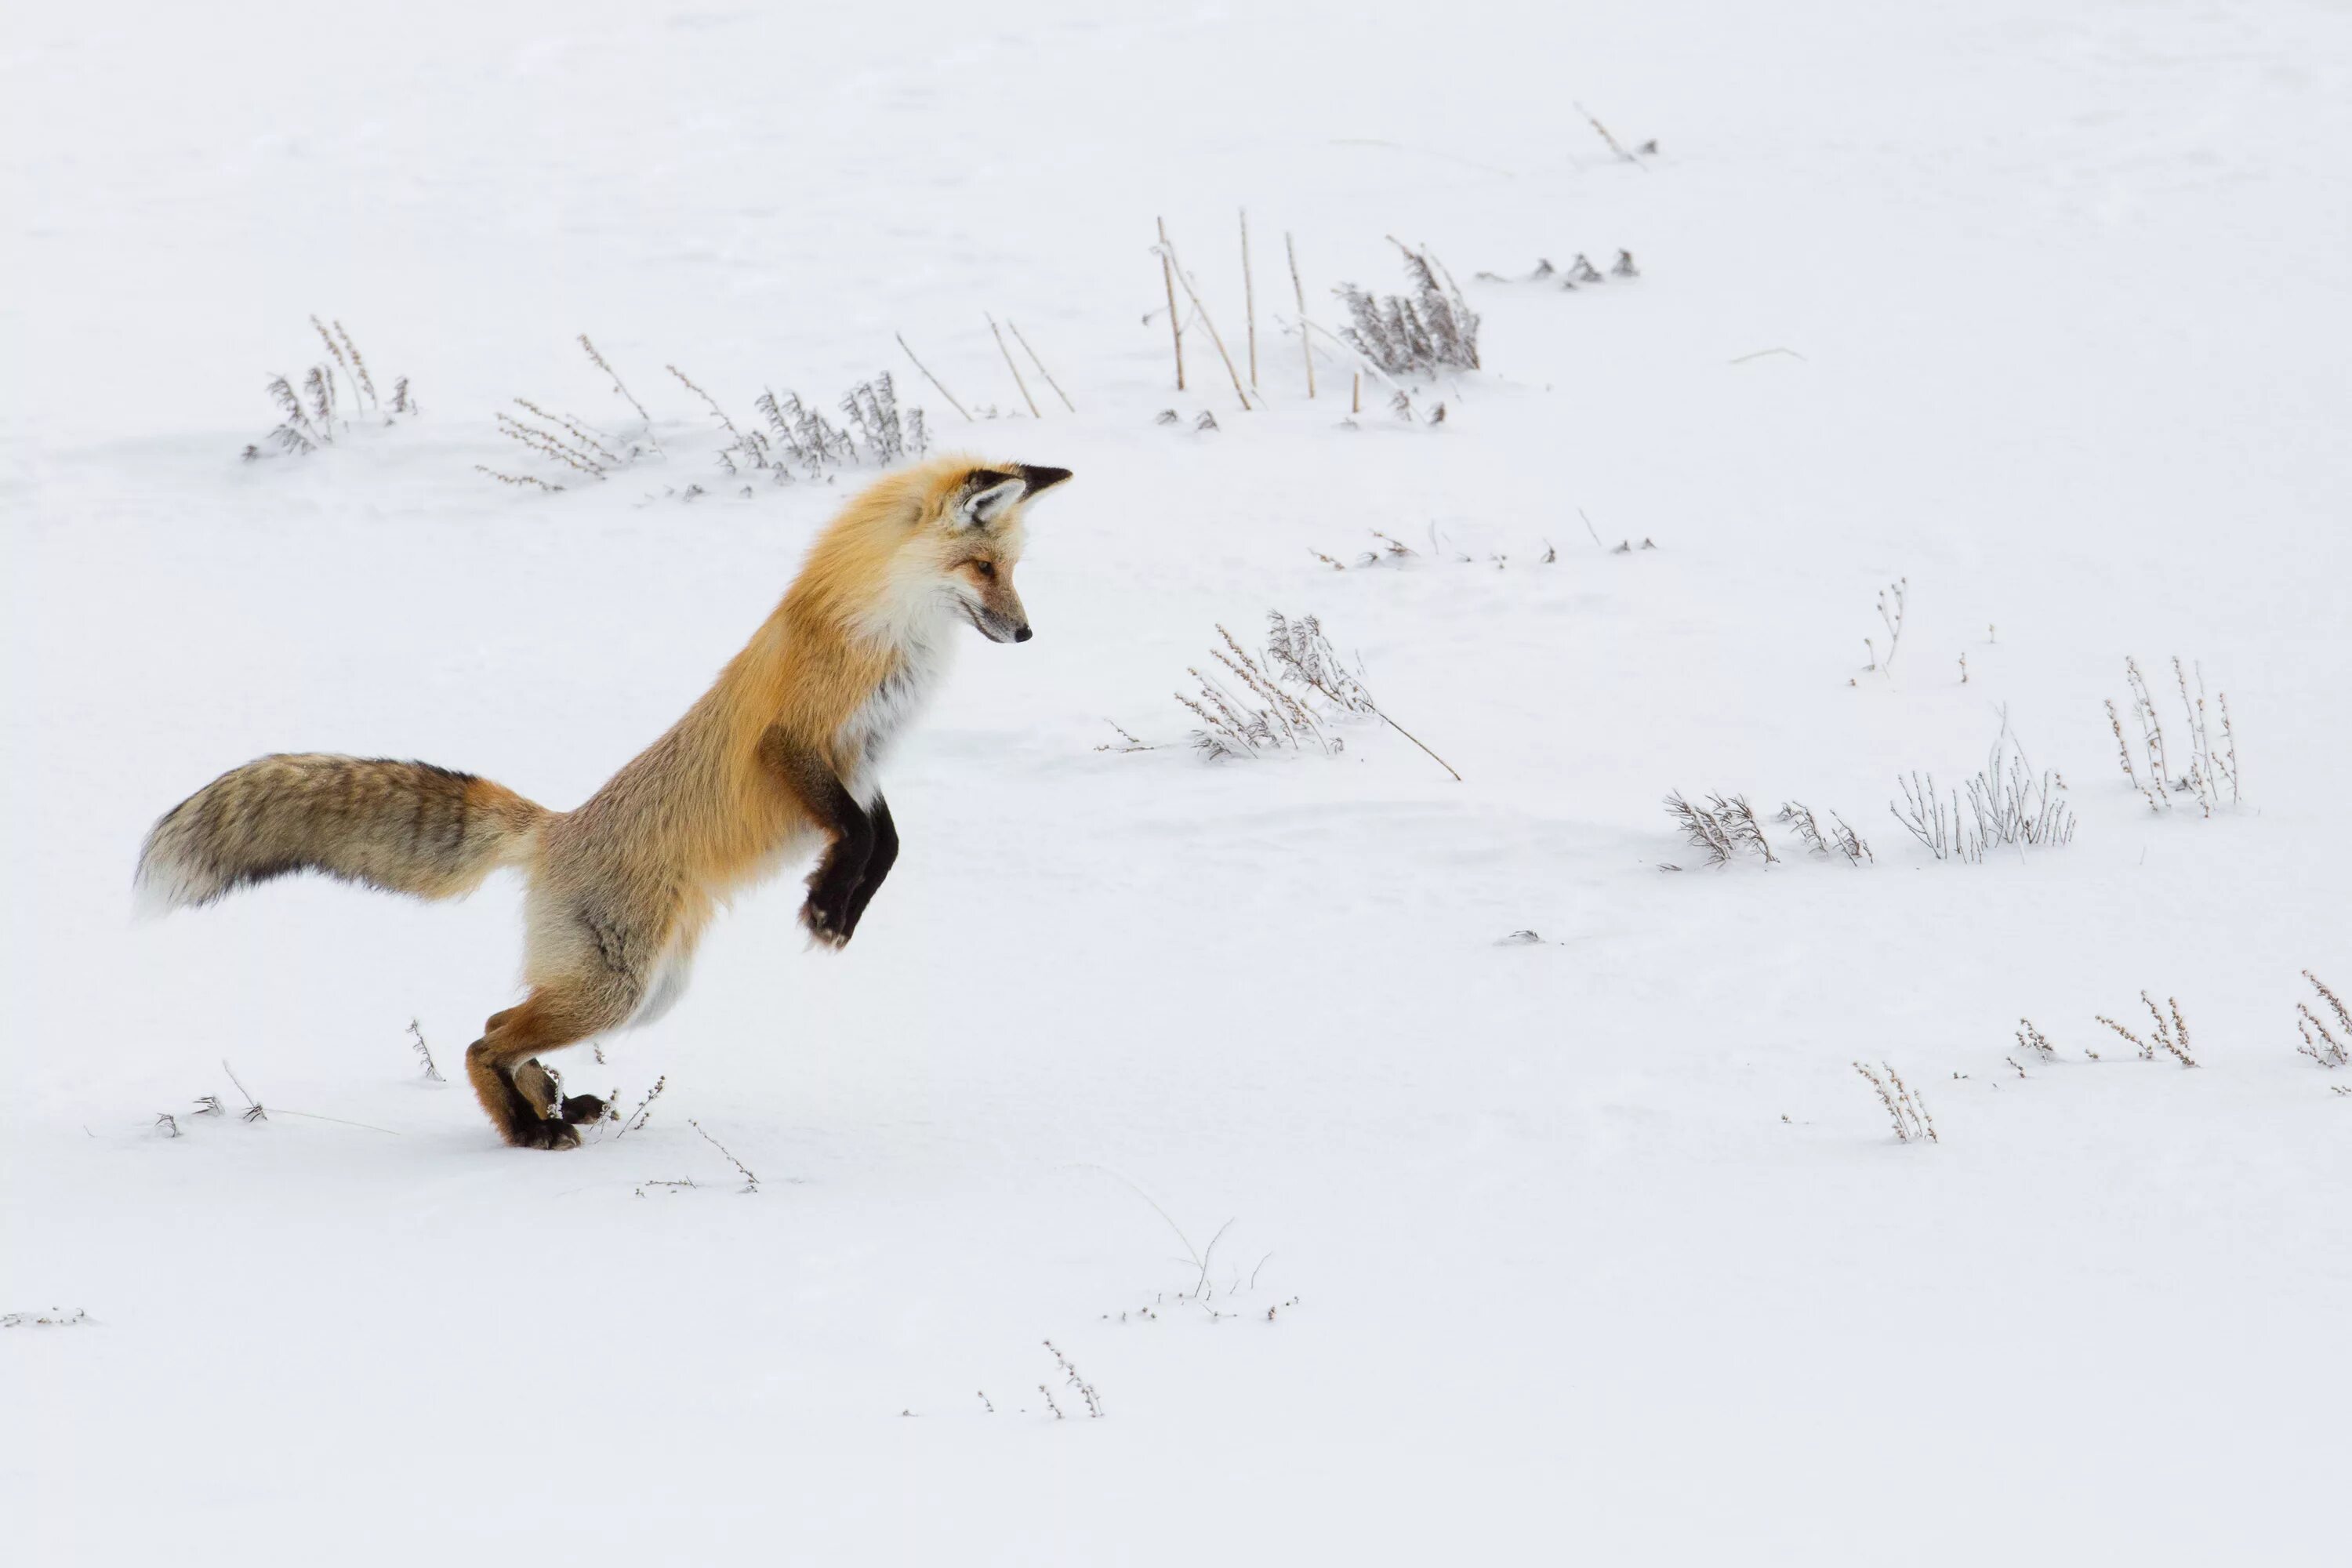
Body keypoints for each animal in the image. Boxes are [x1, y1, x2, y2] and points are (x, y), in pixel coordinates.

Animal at [137, 460, 1077, 1147]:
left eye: (1012, 569)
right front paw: (825, 905)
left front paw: (835, 907)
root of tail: (555, 828)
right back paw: (529, 1128)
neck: (886, 634)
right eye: (982, 567)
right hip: (618, 989)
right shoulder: (798, 745)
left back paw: (552, 1106)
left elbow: (885, 843)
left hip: (649, 990)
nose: (1029, 632)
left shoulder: (865, 763)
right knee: (482, 1036)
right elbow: (858, 837)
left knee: (499, 1023)